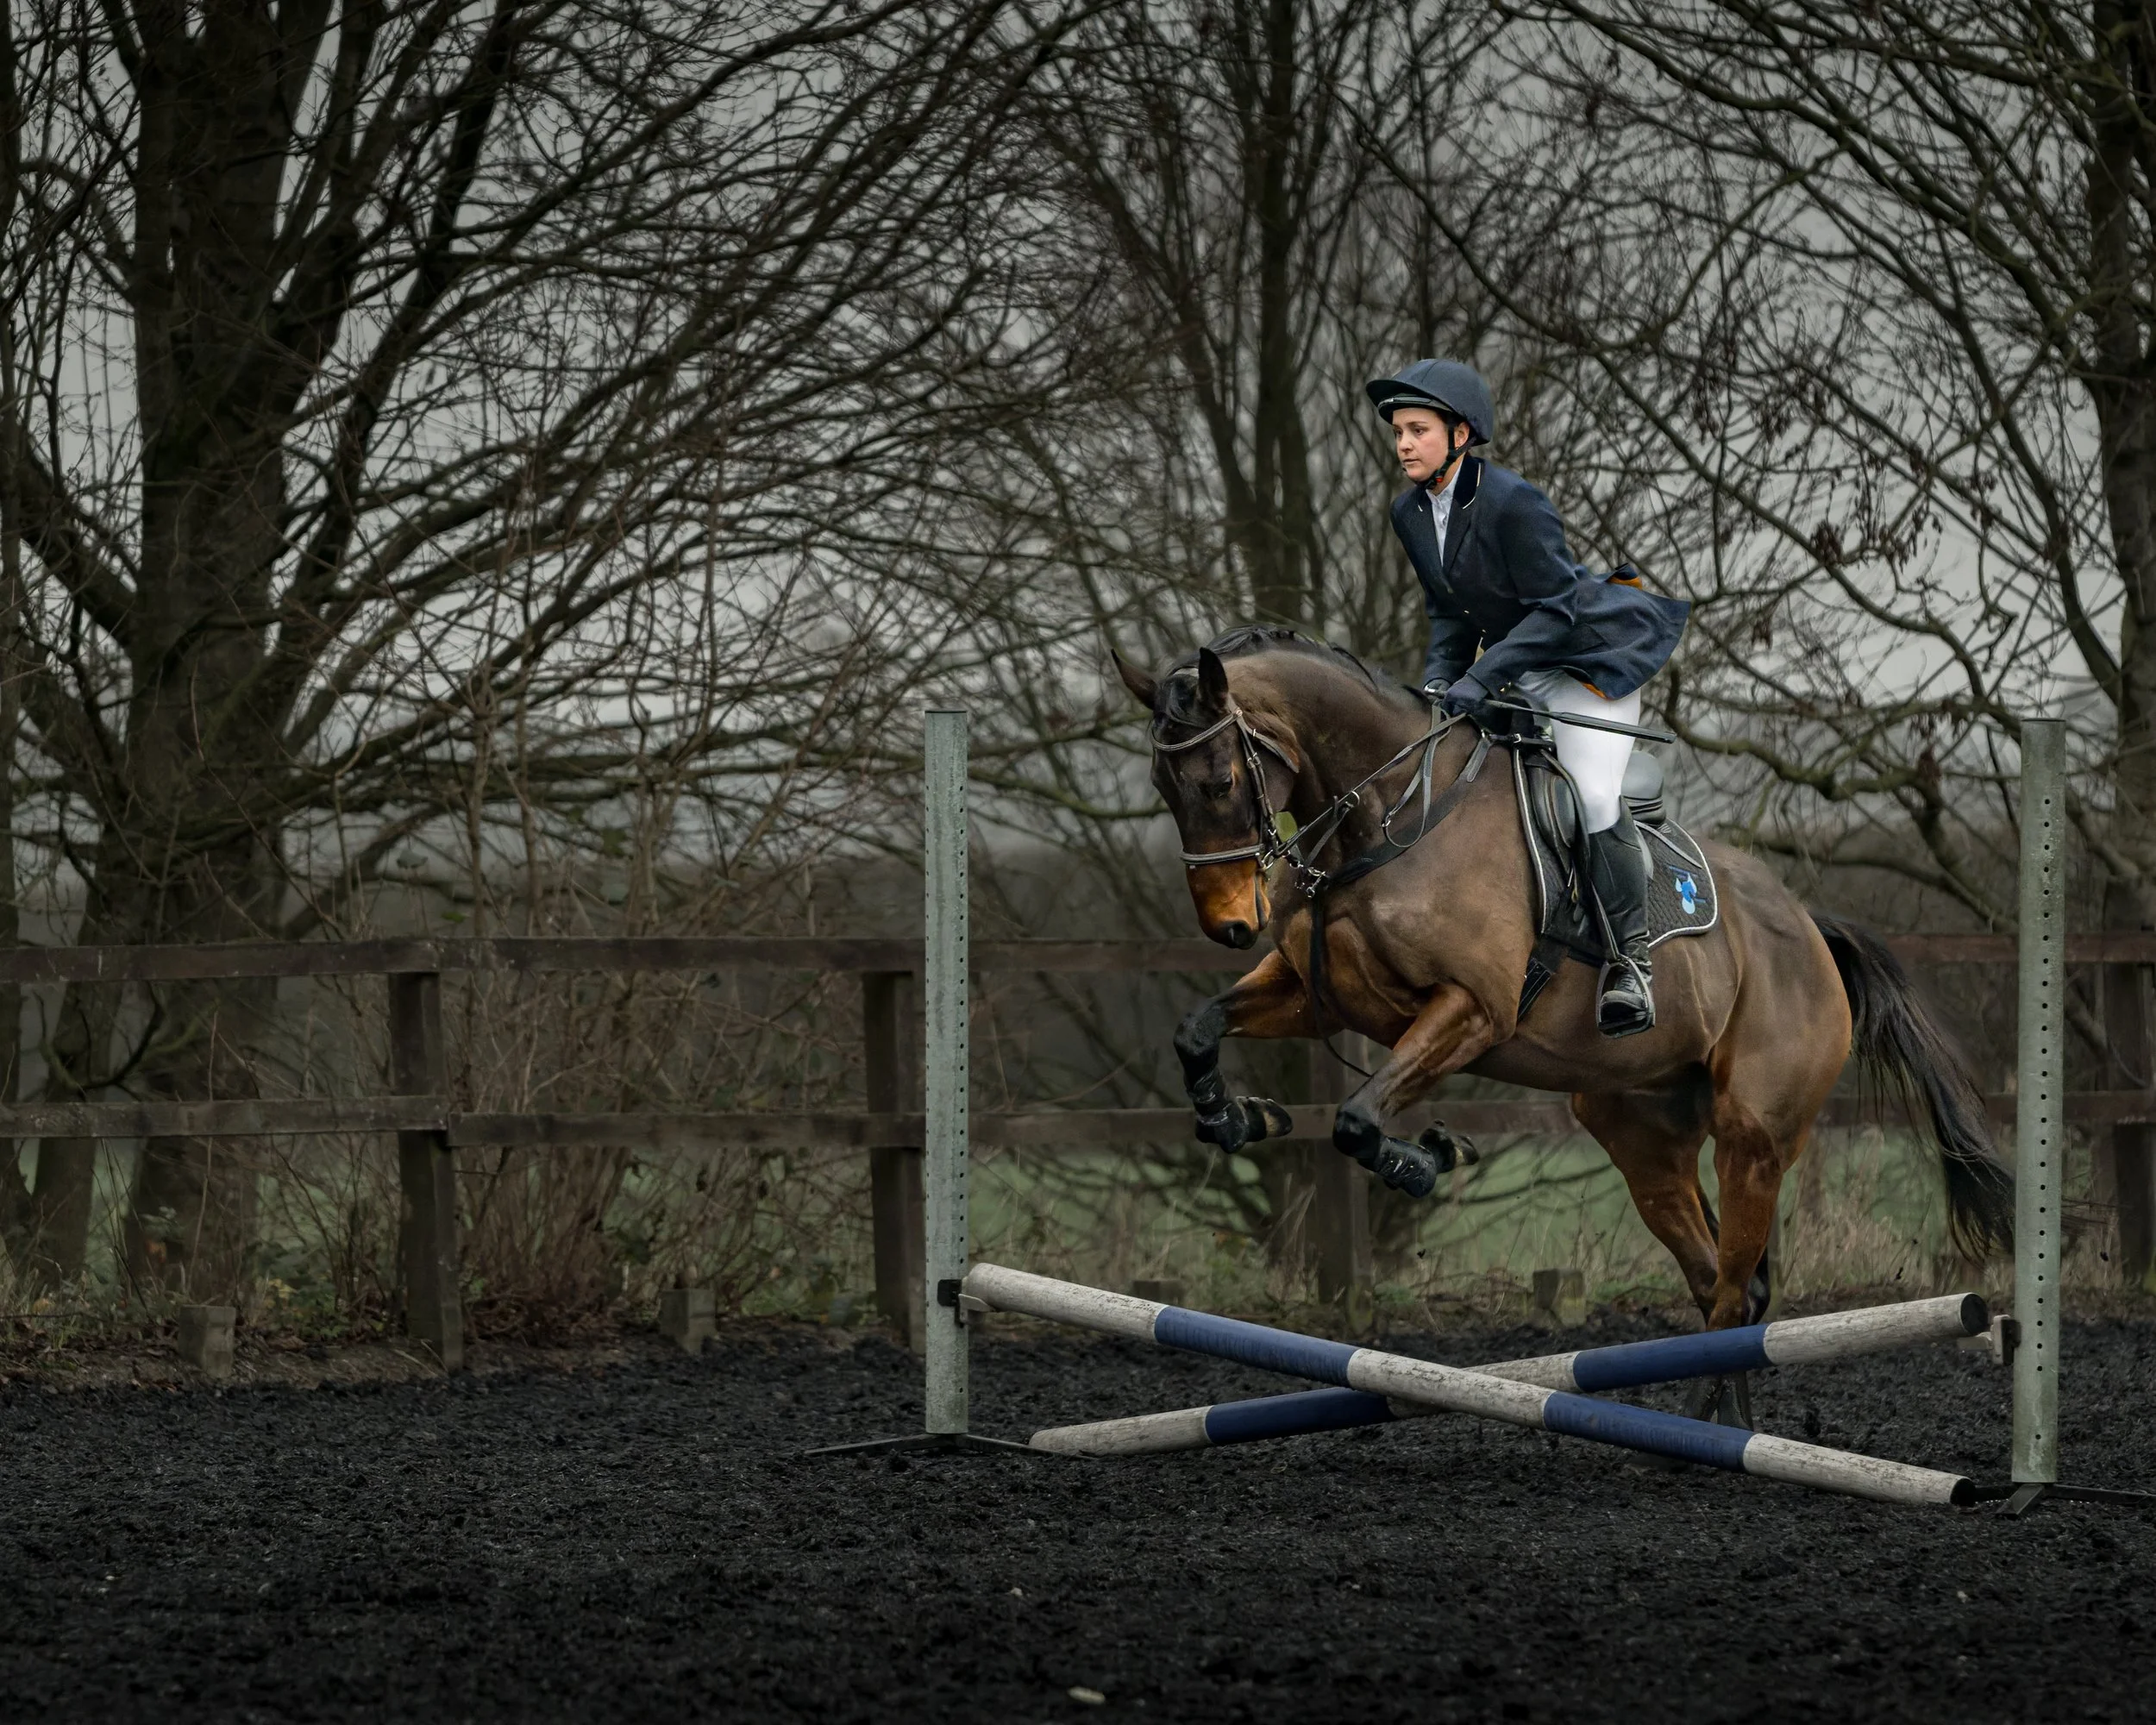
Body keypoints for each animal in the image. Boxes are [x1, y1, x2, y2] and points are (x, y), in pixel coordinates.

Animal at [1115, 627, 2013, 1341]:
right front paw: (1236, 1117)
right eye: (1162, 787)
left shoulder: (1473, 1012)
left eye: (1219, 783)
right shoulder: (1320, 996)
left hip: (1755, 1137)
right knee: (1722, 1282)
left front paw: (1425, 1160)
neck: (1392, 816)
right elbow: (1198, 1031)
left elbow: (1357, 1121)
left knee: (1733, 1293)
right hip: (1639, 1130)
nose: (1231, 925)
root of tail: (1811, 932)